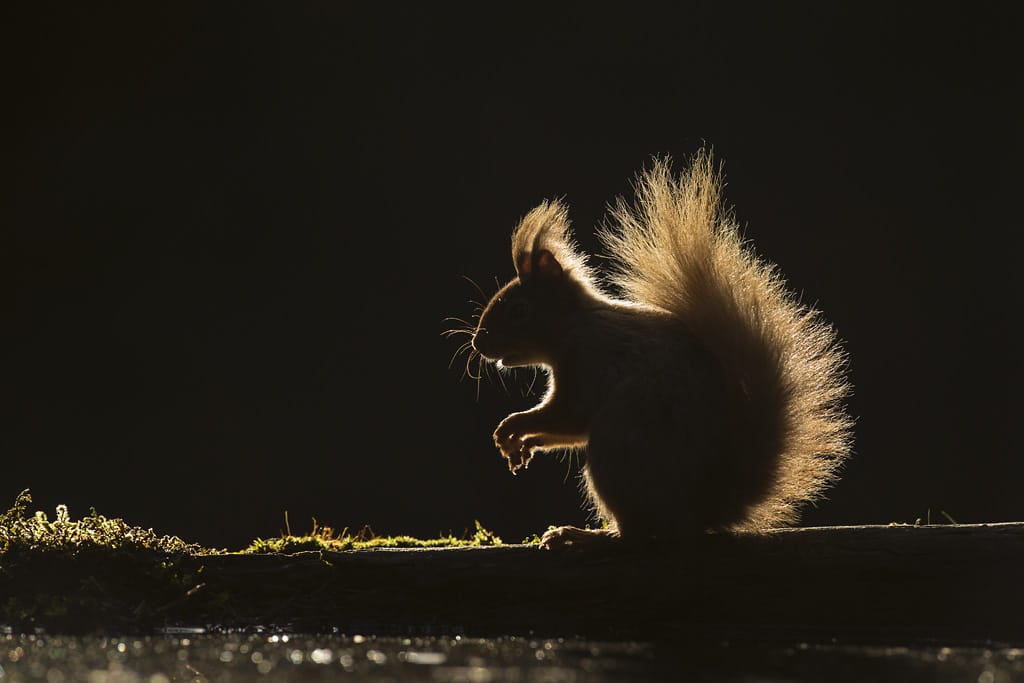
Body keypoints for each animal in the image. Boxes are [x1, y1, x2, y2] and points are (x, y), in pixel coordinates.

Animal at [458, 149, 853, 549]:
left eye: (517, 311)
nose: (478, 343)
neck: (575, 326)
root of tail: (703, 512)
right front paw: (519, 446)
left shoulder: (590, 362)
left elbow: (571, 416)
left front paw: (512, 427)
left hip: (617, 444)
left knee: (634, 534)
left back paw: (582, 536)